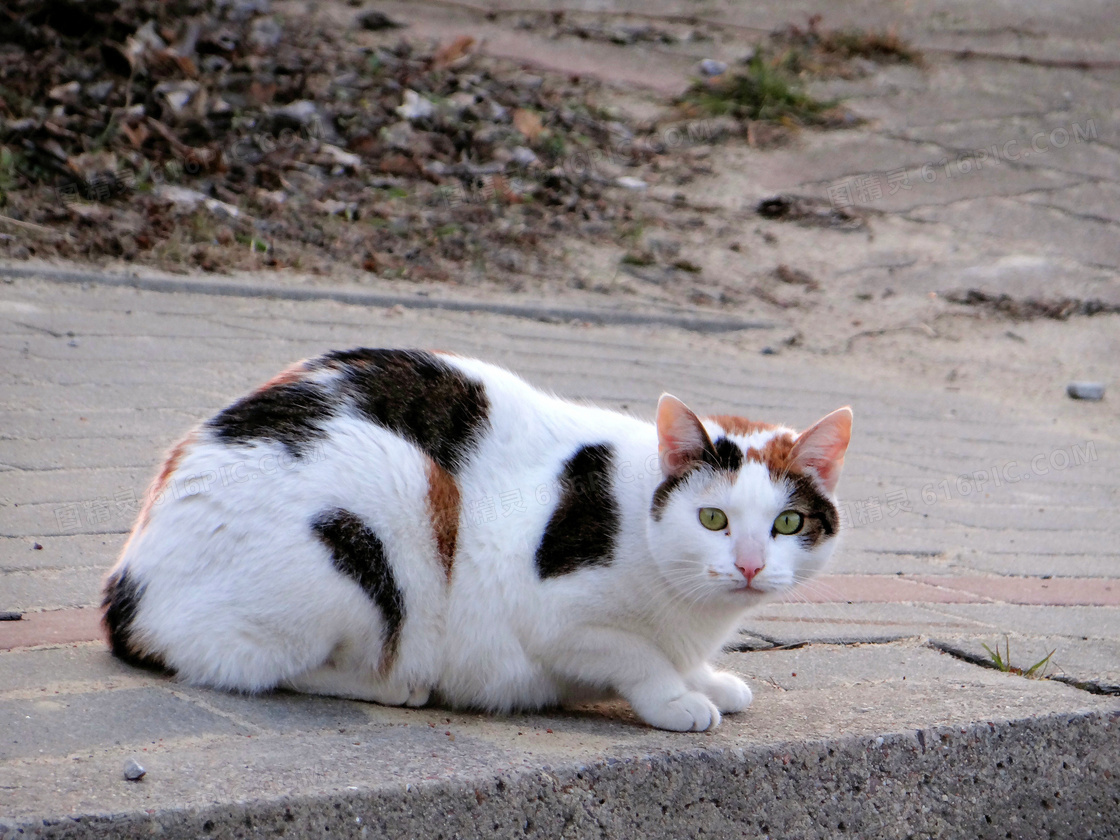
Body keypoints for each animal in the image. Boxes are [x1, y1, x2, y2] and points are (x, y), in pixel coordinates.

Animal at [105, 349, 851, 730]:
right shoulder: (553, 613)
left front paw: (707, 679)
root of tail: (125, 591)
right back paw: (397, 685)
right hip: (395, 495)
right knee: (256, 663)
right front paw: (676, 698)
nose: (749, 567)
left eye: (787, 524)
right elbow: (634, 653)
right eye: (713, 519)